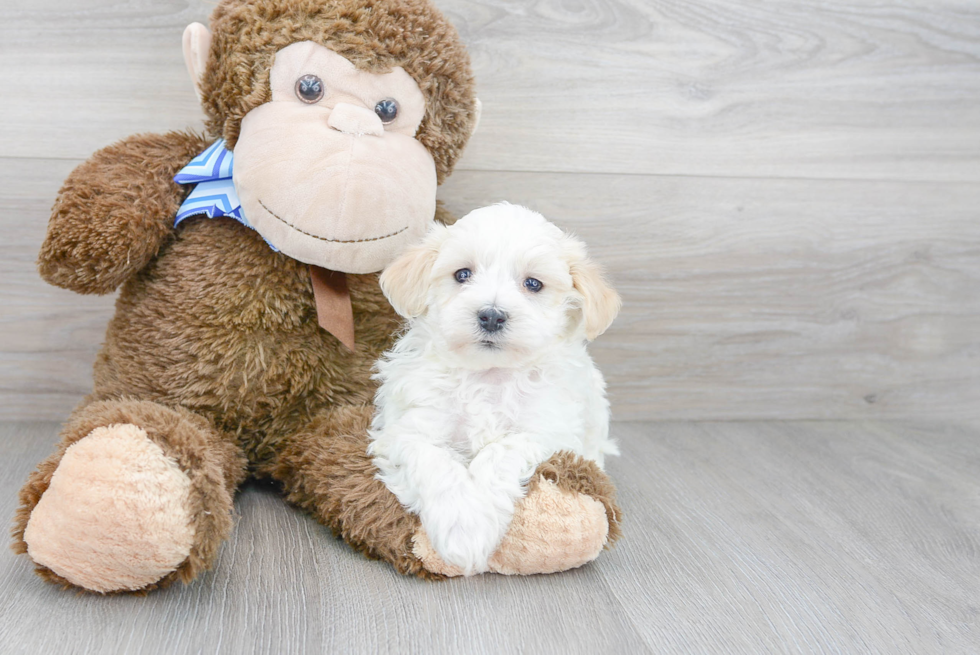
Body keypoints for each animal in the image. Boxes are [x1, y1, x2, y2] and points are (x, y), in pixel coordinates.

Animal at [368, 204, 620, 576]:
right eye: (462, 274)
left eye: (533, 284)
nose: (491, 315)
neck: (488, 375)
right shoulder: (410, 430)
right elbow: (435, 462)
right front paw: (460, 528)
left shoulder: (548, 431)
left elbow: (501, 451)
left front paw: (474, 525)